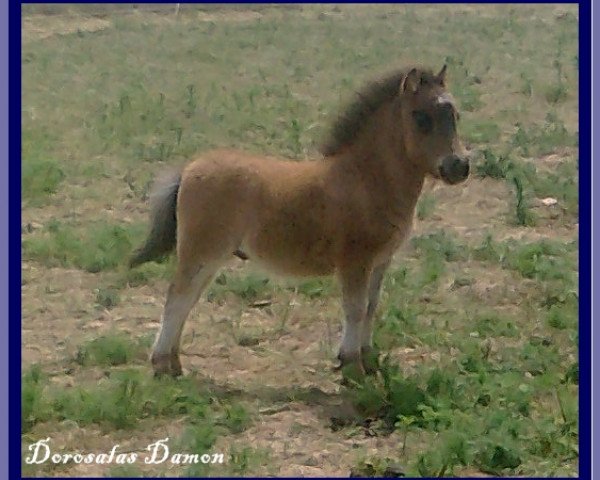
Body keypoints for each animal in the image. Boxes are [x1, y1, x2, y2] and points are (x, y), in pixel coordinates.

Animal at [130, 64, 468, 378]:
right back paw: (162, 364)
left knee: (189, 297)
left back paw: (174, 363)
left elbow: (372, 307)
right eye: (421, 118)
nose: (460, 166)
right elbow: (355, 309)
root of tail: (188, 169)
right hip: (202, 250)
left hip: (210, 254)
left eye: (456, 115)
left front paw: (368, 358)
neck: (365, 179)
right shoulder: (355, 261)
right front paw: (352, 366)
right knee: (178, 296)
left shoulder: (380, 261)